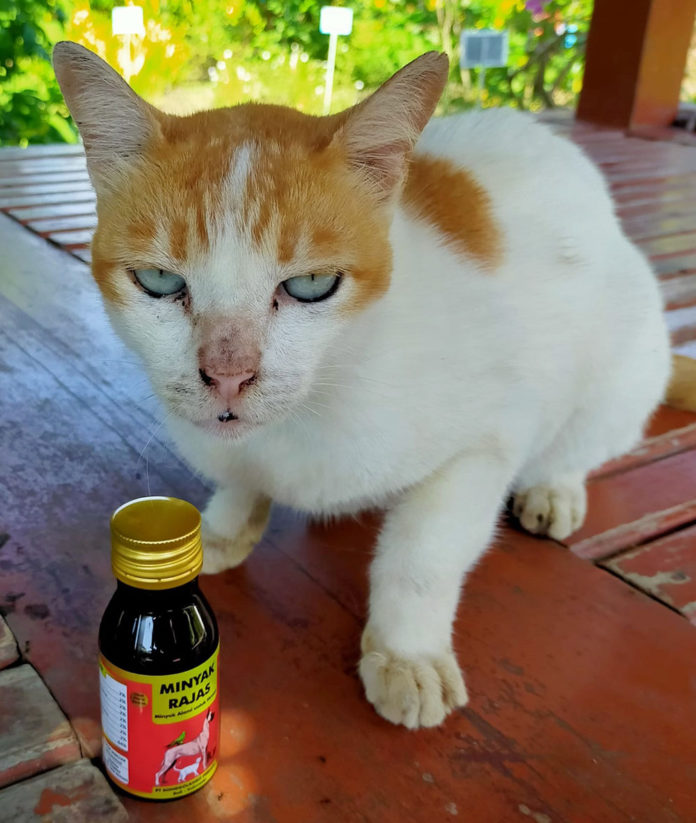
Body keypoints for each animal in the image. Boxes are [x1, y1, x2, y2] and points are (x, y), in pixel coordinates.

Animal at [54, 43, 671, 729]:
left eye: (312, 285)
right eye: (159, 281)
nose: (228, 375)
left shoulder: (486, 442)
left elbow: (423, 557)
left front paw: (407, 655)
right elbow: (237, 482)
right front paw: (217, 530)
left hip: (626, 369)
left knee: (581, 443)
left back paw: (554, 488)